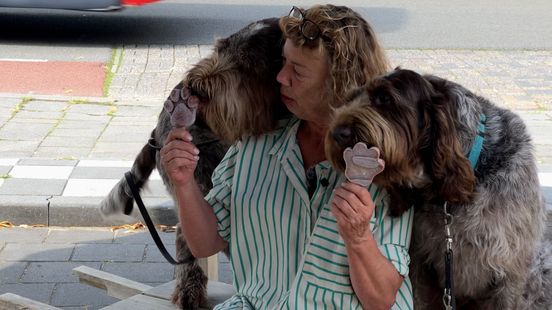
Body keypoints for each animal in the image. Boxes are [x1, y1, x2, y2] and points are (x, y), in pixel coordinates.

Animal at [99, 18, 286, 308]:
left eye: (248, 64)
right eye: (220, 48)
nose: (193, 86)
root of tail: (156, 132)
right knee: (187, 236)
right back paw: (190, 291)